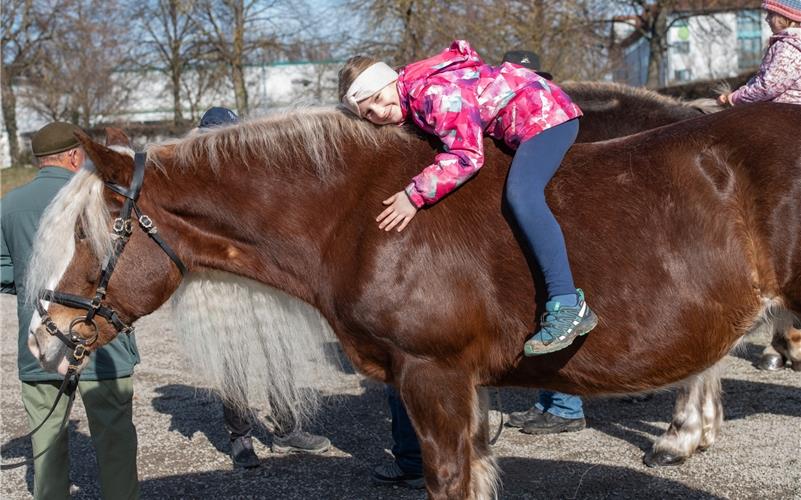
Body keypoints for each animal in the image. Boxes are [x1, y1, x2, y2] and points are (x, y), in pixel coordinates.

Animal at [26, 103, 800, 498]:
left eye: (86, 235)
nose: (42, 336)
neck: (354, 214)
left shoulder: (434, 377)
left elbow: (447, 480)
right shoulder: (464, 389)